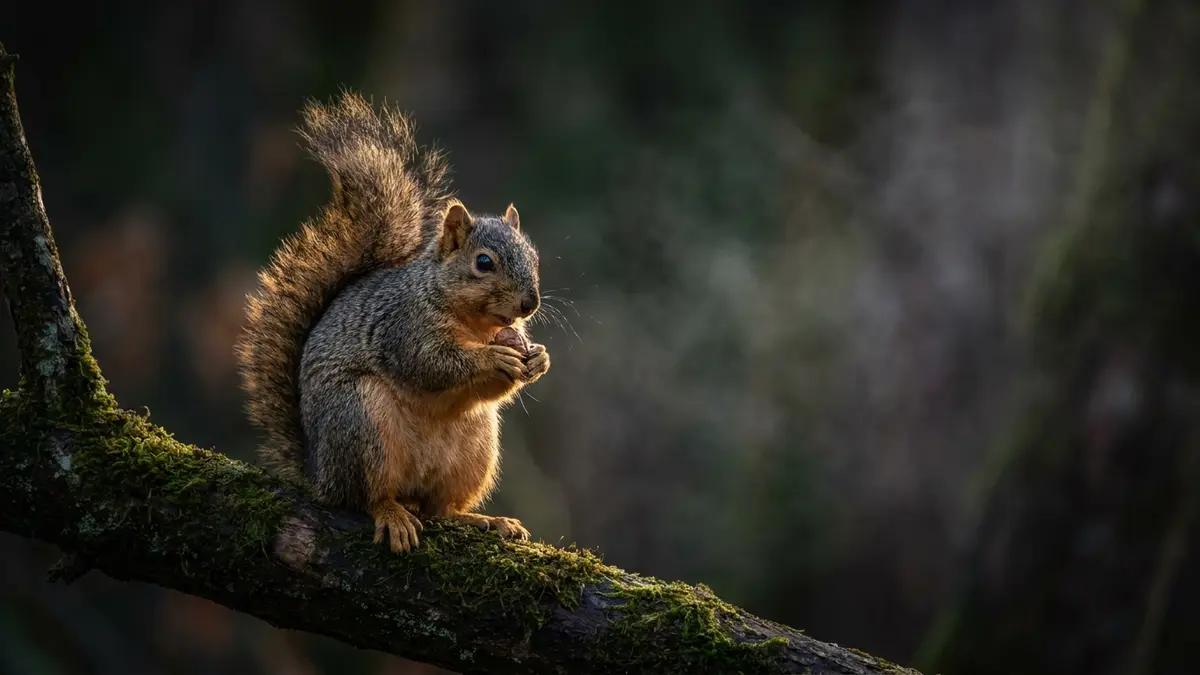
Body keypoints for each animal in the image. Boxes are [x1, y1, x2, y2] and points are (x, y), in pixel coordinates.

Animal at [235, 91, 550, 553]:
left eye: (533, 256)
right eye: (483, 263)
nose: (530, 304)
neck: (474, 325)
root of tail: (319, 473)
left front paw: (539, 359)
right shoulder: (402, 328)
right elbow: (431, 364)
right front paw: (495, 360)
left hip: (476, 446)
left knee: (441, 510)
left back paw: (484, 520)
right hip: (361, 422)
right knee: (368, 497)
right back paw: (393, 516)